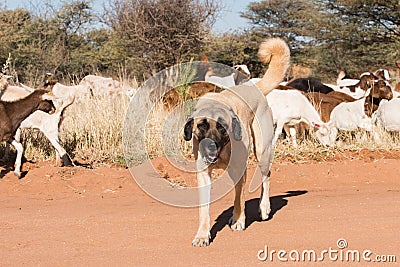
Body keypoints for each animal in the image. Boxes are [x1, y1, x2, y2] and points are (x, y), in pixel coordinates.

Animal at [184, 37, 290, 247]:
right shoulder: (203, 175)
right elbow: (204, 211)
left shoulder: (240, 170)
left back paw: (264, 207)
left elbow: (239, 199)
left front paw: (239, 221)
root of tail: (254, 89)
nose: (211, 146)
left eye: (222, 127)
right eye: (201, 126)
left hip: (262, 151)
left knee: (266, 176)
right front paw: (202, 235)